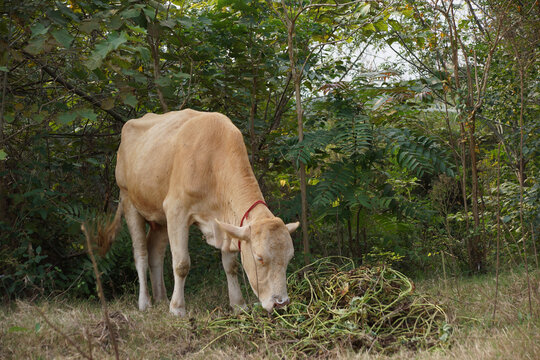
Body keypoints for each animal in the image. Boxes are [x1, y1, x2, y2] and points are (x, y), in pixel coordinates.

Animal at [101, 109, 300, 316]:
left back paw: (161, 299)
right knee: (141, 254)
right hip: (128, 200)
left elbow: (231, 266)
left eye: (289, 258)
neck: (212, 164)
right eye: (259, 258)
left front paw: (238, 304)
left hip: (160, 218)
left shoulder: (223, 222)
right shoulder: (176, 210)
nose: (281, 303)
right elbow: (181, 264)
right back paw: (145, 302)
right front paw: (177, 308)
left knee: (155, 252)